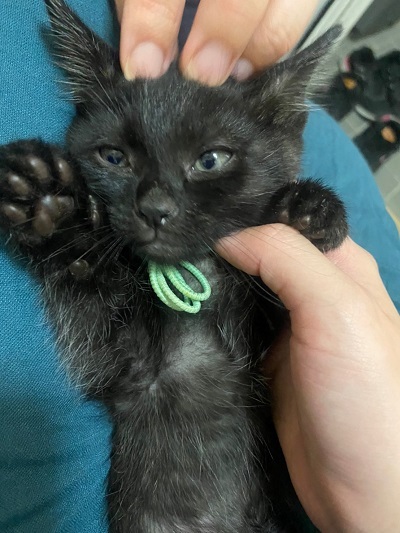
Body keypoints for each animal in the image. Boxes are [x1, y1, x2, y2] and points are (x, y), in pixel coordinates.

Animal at [0, 0, 348, 531]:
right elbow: (86, 304)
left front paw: (311, 211)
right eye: (114, 157)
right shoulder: (120, 366)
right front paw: (51, 205)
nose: (155, 208)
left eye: (211, 160)